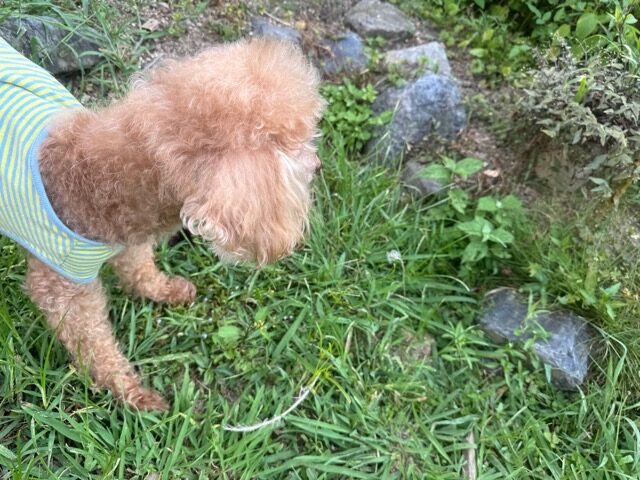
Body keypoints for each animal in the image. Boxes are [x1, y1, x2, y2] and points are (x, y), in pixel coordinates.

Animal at [0, 37, 324, 410]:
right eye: (299, 144)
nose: (319, 164)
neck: (87, 174)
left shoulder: (129, 240)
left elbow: (139, 269)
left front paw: (165, 290)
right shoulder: (61, 287)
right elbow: (93, 344)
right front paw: (129, 393)